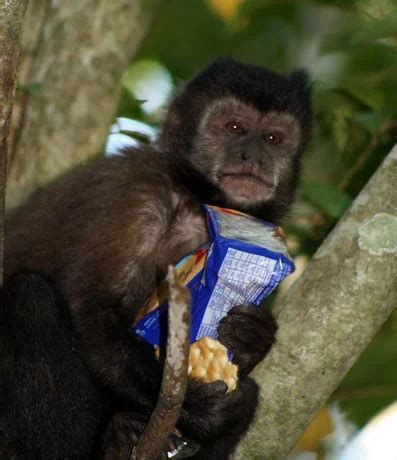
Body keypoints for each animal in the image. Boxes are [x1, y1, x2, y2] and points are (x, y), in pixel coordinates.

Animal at [3, 57, 312, 460]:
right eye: (234, 127)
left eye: (274, 138)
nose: (253, 156)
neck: (198, 200)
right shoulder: (136, 192)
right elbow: (93, 315)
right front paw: (198, 407)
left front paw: (251, 336)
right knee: (30, 298)